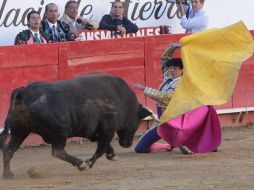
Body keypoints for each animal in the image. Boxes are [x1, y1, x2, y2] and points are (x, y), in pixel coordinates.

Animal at [0, 72, 153, 178]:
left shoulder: (95, 131)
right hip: (59, 132)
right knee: (57, 151)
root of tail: (24, 91)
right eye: (137, 123)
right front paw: (89, 162)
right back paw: (81, 164)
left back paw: (8, 174)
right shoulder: (108, 129)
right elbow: (101, 147)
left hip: (19, 130)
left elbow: (104, 145)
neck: (123, 99)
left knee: (9, 150)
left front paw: (112, 155)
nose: (127, 144)